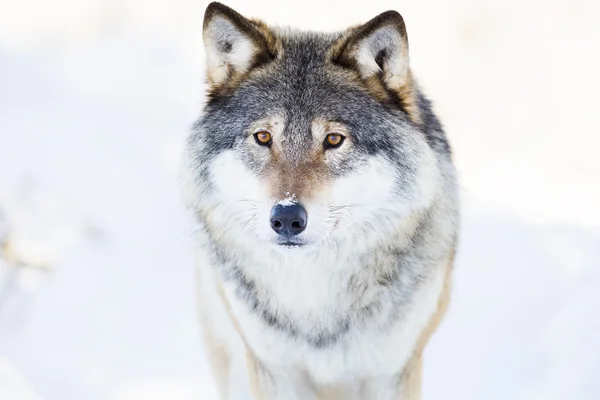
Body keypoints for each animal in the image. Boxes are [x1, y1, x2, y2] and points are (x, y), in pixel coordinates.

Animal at [179, 2, 460, 396]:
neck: (314, 296)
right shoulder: (273, 370)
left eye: (334, 140)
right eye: (263, 137)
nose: (286, 218)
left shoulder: (392, 372)